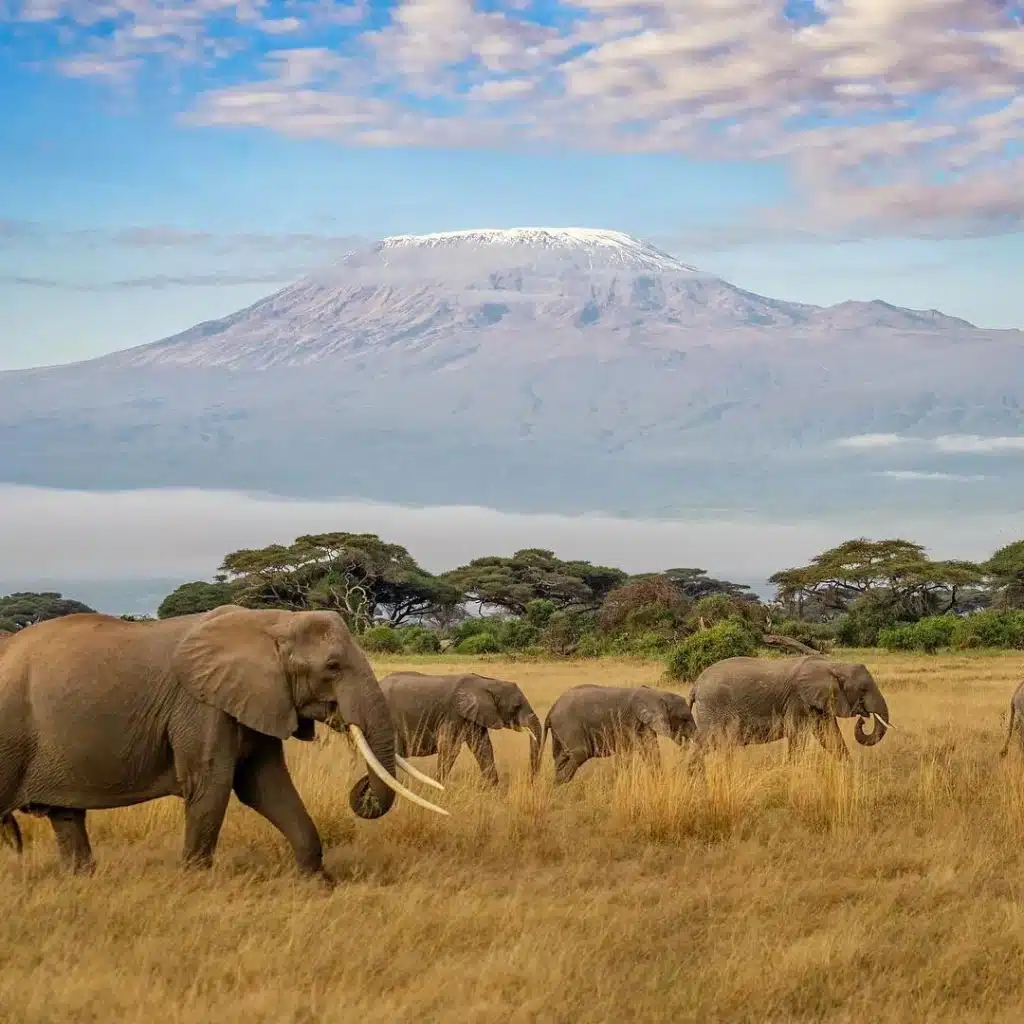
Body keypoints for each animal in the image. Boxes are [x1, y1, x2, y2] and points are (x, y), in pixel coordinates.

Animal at [0, 606, 448, 879]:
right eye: (333, 667)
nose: (360, 788)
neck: (270, 623)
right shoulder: (201, 705)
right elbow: (211, 785)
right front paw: (194, 884)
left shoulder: (257, 699)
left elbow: (266, 787)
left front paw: (318, 885)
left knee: (66, 817)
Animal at [379, 671, 543, 786]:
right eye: (516, 707)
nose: (531, 781)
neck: (487, 683)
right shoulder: (453, 714)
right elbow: (449, 747)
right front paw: (439, 786)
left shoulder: (474, 714)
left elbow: (482, 746)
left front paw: (493, 787)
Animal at [541, 684, 697, 783]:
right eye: (684, 719)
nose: (683, 746)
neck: (658, 694)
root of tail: (551, 710)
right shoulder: (628, 722)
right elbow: (634, 750)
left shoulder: (642, 722)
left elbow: (650, 749)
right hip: (568, 724)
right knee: (580, 752)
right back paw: (560, 784)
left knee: (561, 757)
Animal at [688, 655, 892, 760]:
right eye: (863, 689)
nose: (863, 719)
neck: (833, 665)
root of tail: (695, 685)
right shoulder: (798, 700)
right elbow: (797, 735)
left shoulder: (820, 703)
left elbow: (829, 735)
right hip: (713, 708)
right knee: (706, 742)